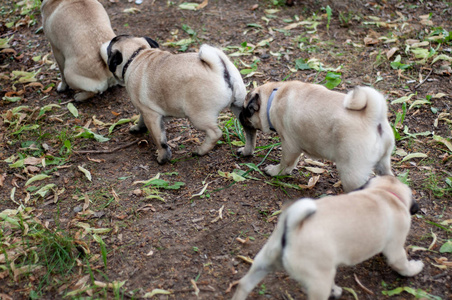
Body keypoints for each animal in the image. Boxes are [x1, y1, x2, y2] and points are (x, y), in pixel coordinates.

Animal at [100, 36, 249, 165]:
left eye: (109, 50)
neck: (137, 54)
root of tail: (220, 69)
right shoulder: (145, 110)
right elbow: (142, 120)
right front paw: (138, 128)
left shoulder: (151, 116)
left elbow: (160, 140)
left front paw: (163, 158)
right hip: (239, 107)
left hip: (198, 116)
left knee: (215, 133)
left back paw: (200, 151)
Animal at [233, 176, 424, 300]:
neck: (385, 193)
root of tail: (292, 228)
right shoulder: (396, 248)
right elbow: (402, 264)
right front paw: (414, 268)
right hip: (319, 279)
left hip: (264, 261)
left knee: (244, 285)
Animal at [238, 81, 394, 191]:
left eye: (246, 110)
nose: (239, 115)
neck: (273, 96)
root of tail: (372, 118)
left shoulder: (289, 145)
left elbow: (285, 163)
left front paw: (275, 171)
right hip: (383, 163)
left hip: (352, 171)